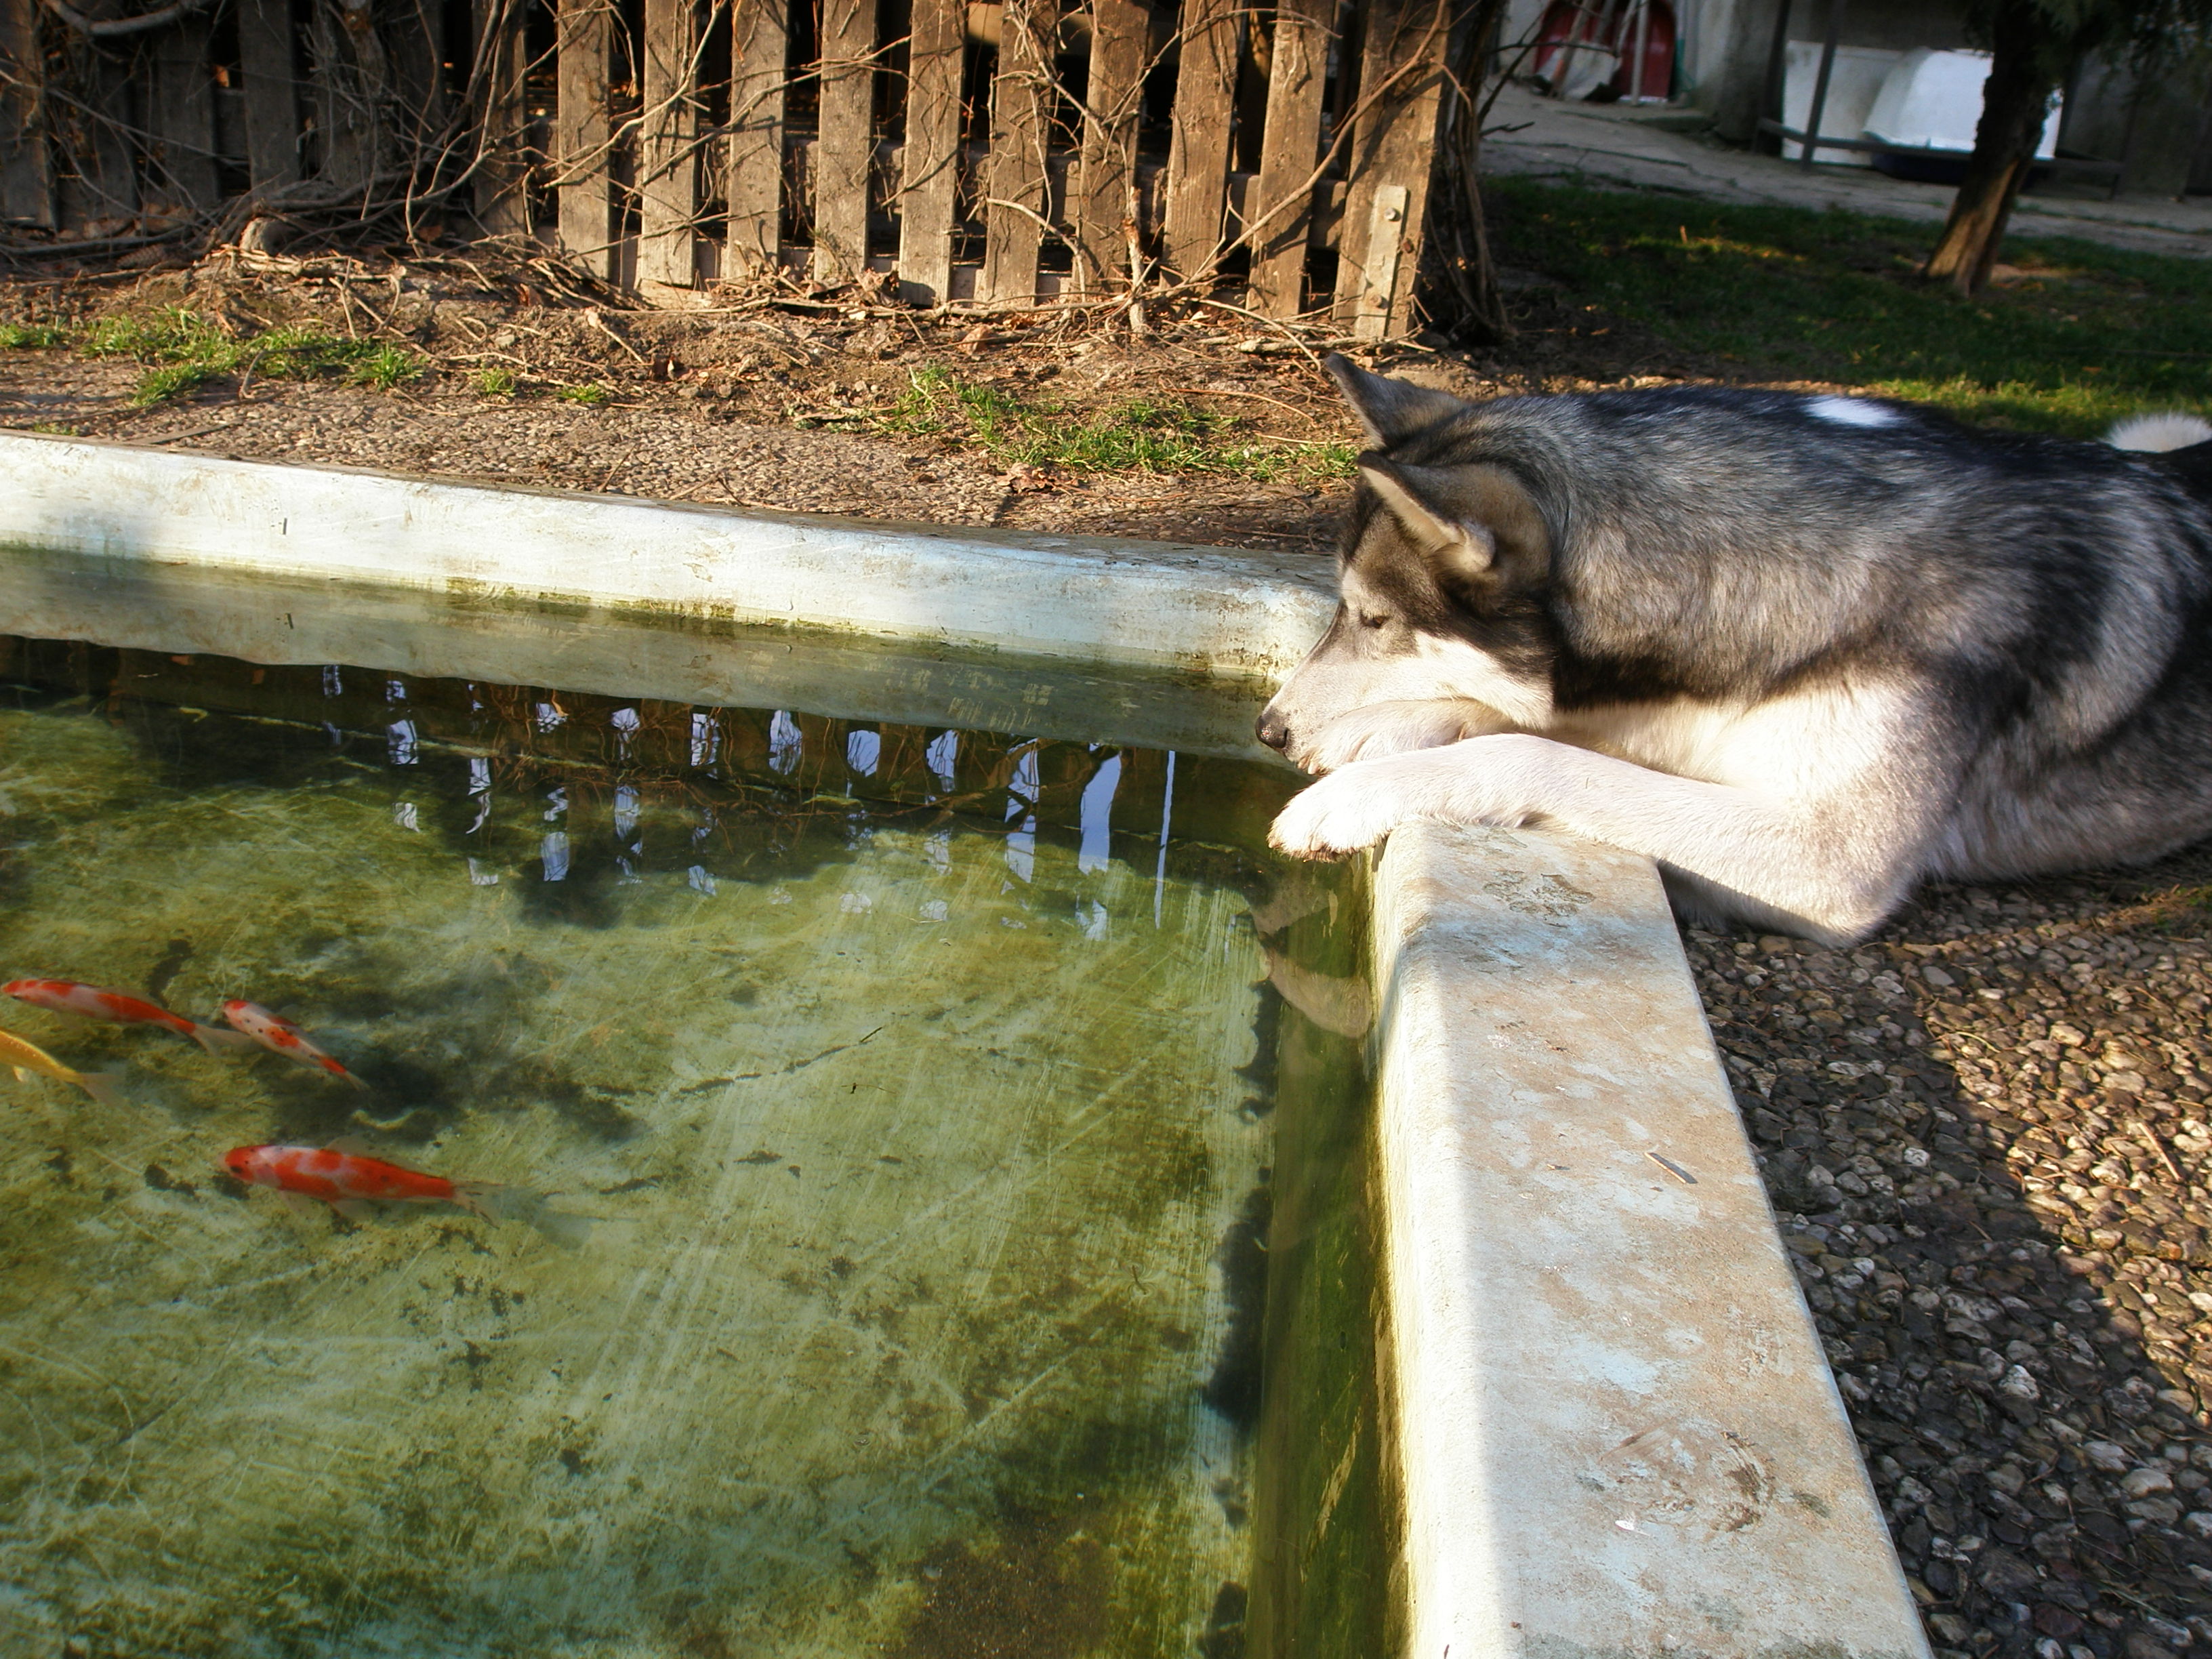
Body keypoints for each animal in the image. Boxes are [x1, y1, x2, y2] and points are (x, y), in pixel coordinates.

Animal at [1257, 357, 2212, 945]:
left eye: (1372, 619)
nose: (1267, 729)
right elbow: (1542, 721)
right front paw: (1388, 728)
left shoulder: (1831, 863)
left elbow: (1542, 755)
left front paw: (1361, 792)